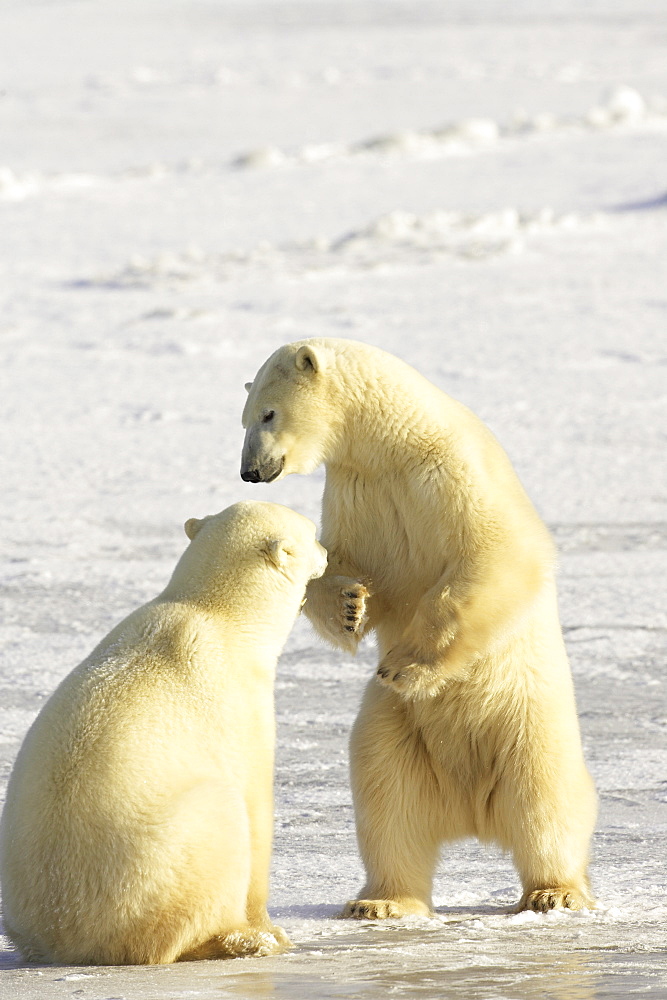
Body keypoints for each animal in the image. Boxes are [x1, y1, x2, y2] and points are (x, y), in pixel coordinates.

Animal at [0, 504, 328, 964]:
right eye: (313, 533)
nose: (329, 552)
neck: (216, 614)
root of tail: (65, 937)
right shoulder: (239, 702)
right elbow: (255, 806)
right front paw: (269, 929)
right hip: (158, 861)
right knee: (217, 827)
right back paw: (235, 939)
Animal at [241, 340, 600, 916]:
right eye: (245, 417)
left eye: (268, 414)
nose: (251, 471)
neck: (396, 444)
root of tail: (472, 810)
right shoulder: (358, 491)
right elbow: (342, 559)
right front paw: (349, 604)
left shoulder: (453, 473)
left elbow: (495, 552)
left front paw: (405, 665)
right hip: (397, 726)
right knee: (385, 794)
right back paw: (382, 901)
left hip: (529, 717)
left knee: (546, 797)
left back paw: (554, 891)